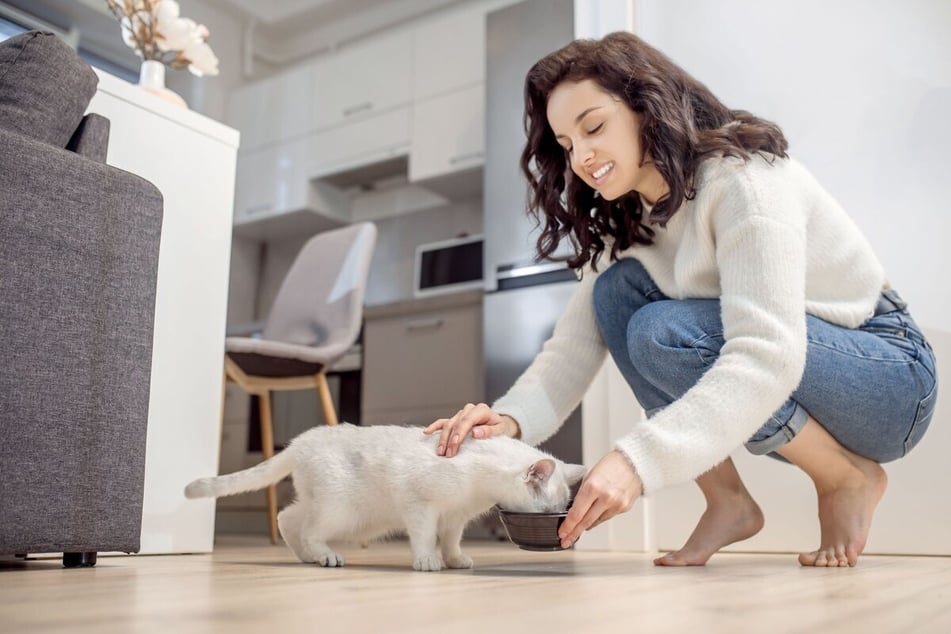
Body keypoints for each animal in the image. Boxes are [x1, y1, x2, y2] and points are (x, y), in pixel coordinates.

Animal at [184, 422, 588, 572]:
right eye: (550, 510)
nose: (556, 520)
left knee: (288, 518)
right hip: (339, 509)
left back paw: (304, 557)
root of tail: (299, 442)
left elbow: (451, 540)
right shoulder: (420, 506)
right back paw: (324, 556)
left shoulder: (455, 518)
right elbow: (425, 537)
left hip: (327, 506)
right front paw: (427, 560)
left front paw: (454, 559)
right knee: (308, 529)